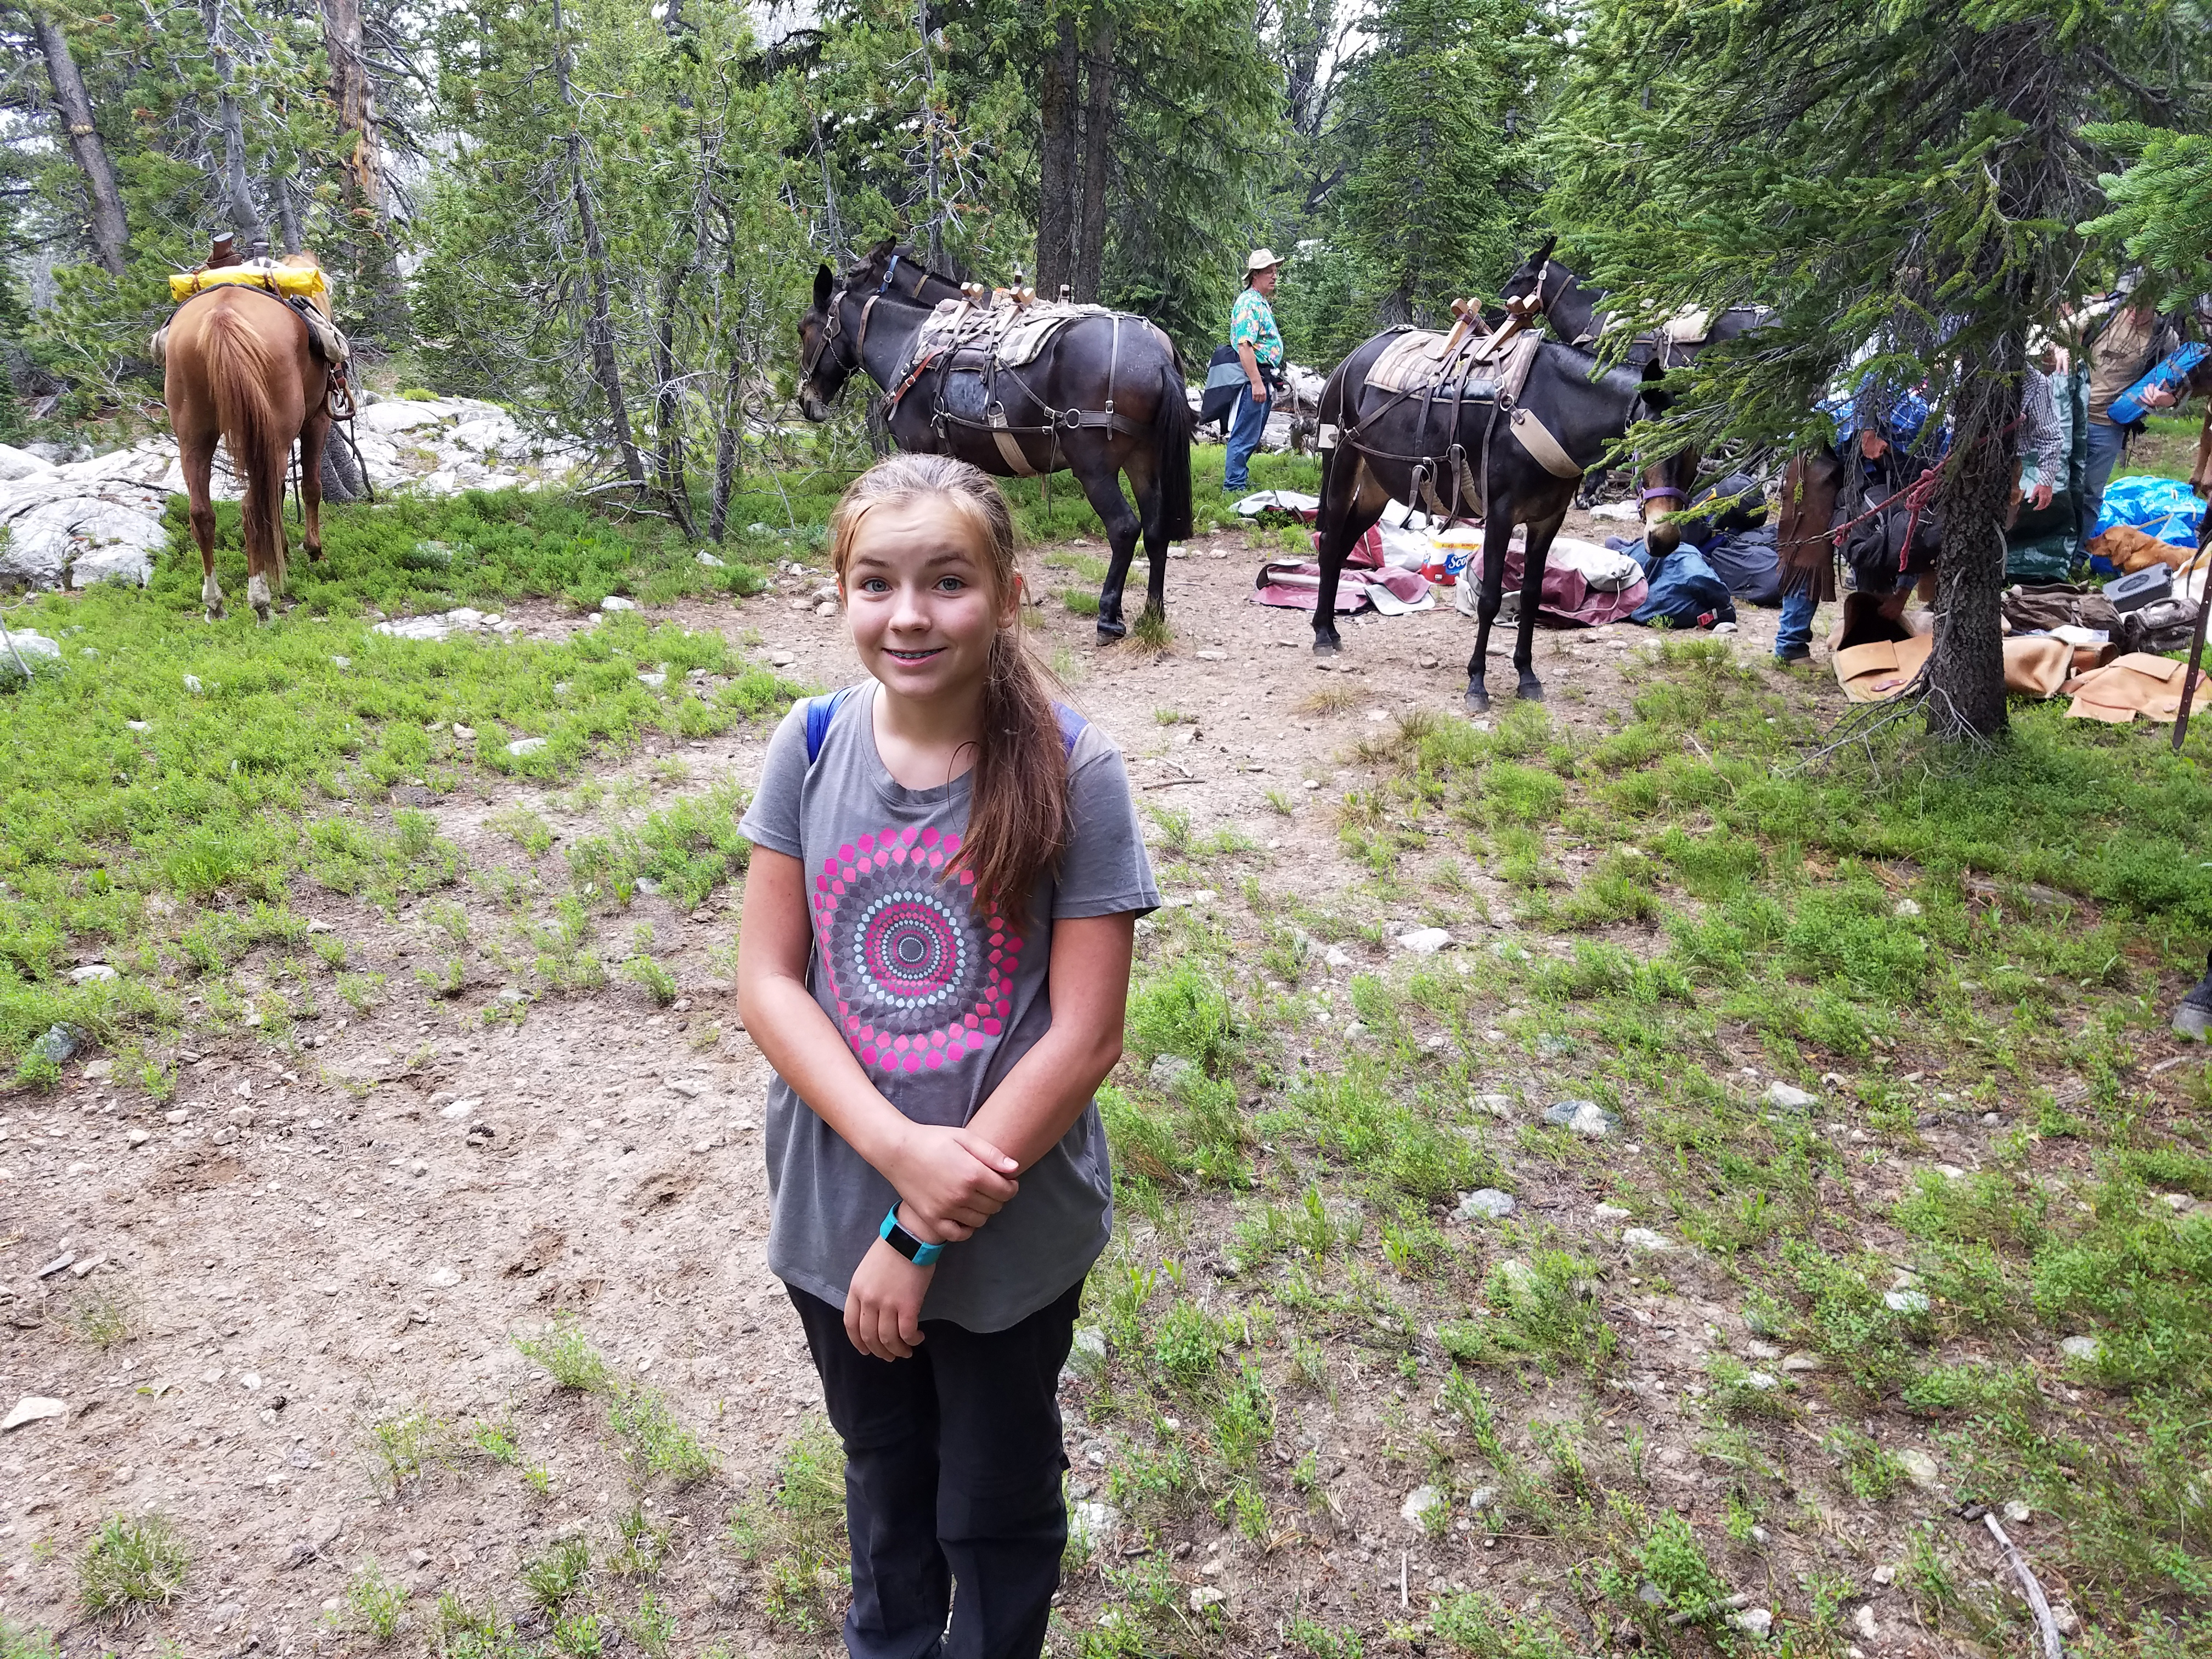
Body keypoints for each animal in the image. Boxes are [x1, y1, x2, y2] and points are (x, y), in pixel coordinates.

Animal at [161, 256, 329, 628]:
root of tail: (221, 317)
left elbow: (278, 494)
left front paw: (282, 551)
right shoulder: (317, 421)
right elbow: (310, 487)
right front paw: (314, 551)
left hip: (194, 435)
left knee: (202, 513)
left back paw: (215, 605)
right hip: (276, 437)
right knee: (252, 508)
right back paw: (262, 604)